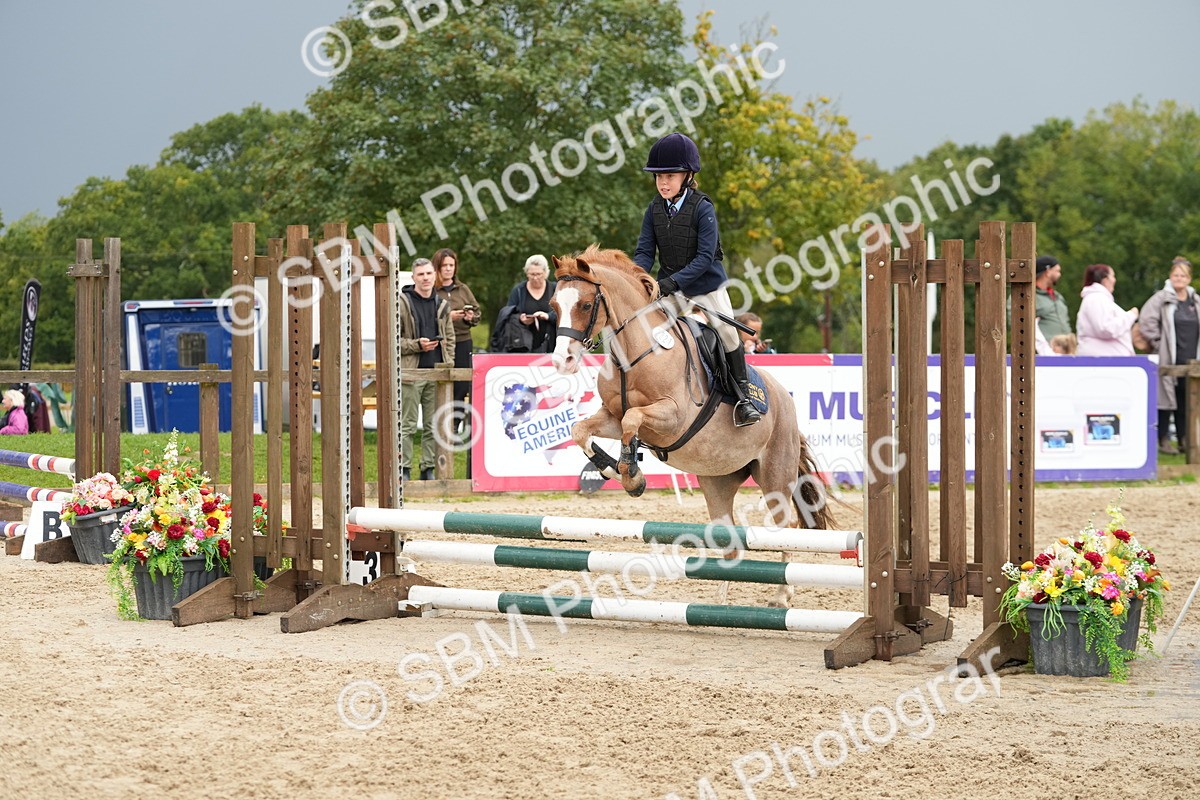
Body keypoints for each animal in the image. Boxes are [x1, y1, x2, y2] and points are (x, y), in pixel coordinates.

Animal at [549, 246, 832, 606]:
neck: (635, 354)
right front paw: (616, 471)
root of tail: (785, 398)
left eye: (586, 305)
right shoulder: (610, 417)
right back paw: (718, 603)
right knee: (730, 541)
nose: (563, 361)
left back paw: (781, 597)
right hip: (718, 479)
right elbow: (581, 431)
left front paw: (631, 474)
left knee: (788, 525)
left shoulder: (670, 417)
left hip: (775, 475)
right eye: (554, 306)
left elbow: (632, 419)